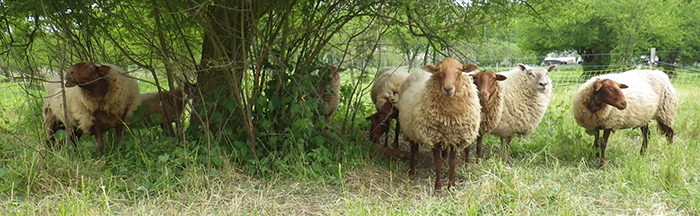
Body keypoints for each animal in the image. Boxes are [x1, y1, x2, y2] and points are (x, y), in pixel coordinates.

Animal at [400, 57, 482, 194]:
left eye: (460, 70)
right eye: (438, 70)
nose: (448, 89)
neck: (449, 118)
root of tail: (418, 71)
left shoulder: (455, 139)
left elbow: (452, 162)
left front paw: (451, 187)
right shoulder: (433, 138)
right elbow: (438, 162)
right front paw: (438, 188)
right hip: (410, 130)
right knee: (413, 150)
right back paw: (412, 172)